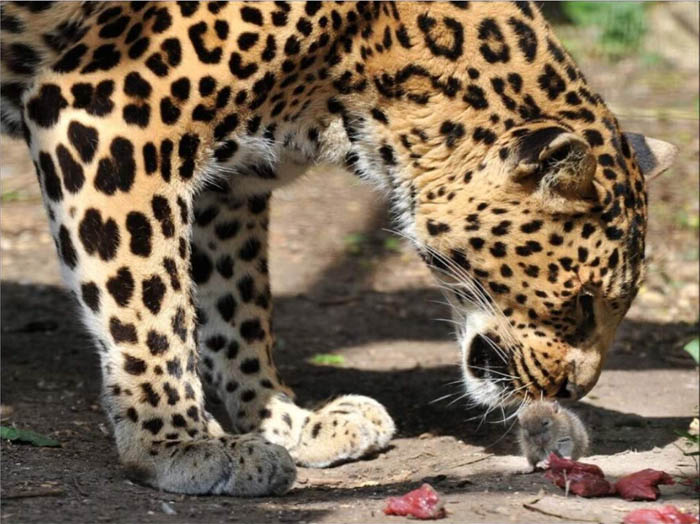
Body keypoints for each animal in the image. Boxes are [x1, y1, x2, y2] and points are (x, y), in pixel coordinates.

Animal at [0, 1, 677, 497]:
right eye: (584, 301)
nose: (575, 392)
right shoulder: (110, 113)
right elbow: (146, 301)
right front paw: (178, 443)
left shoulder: (228, 186)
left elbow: (235, 309)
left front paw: (287, 423)